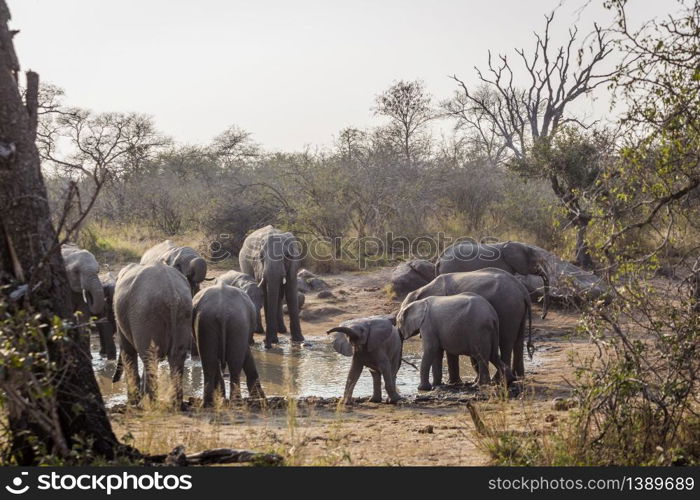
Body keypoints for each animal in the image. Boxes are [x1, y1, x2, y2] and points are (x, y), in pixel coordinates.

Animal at [113, 264, 194, 404]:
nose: (114, 381)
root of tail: (172, 294)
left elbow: (127, 350)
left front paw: (133, 402)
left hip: (145, 316)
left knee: (149, 357)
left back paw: (150, 404)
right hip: (184, 313)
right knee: (176, 355)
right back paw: (175, 404)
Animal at [402, 270, 532, 382]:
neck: (422, 290)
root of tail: (523, 290)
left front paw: (453, 382)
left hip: (509, 308)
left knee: (506, 342)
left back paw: (498, 378)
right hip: (518, 310)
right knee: (518, 341)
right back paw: (518, 376)